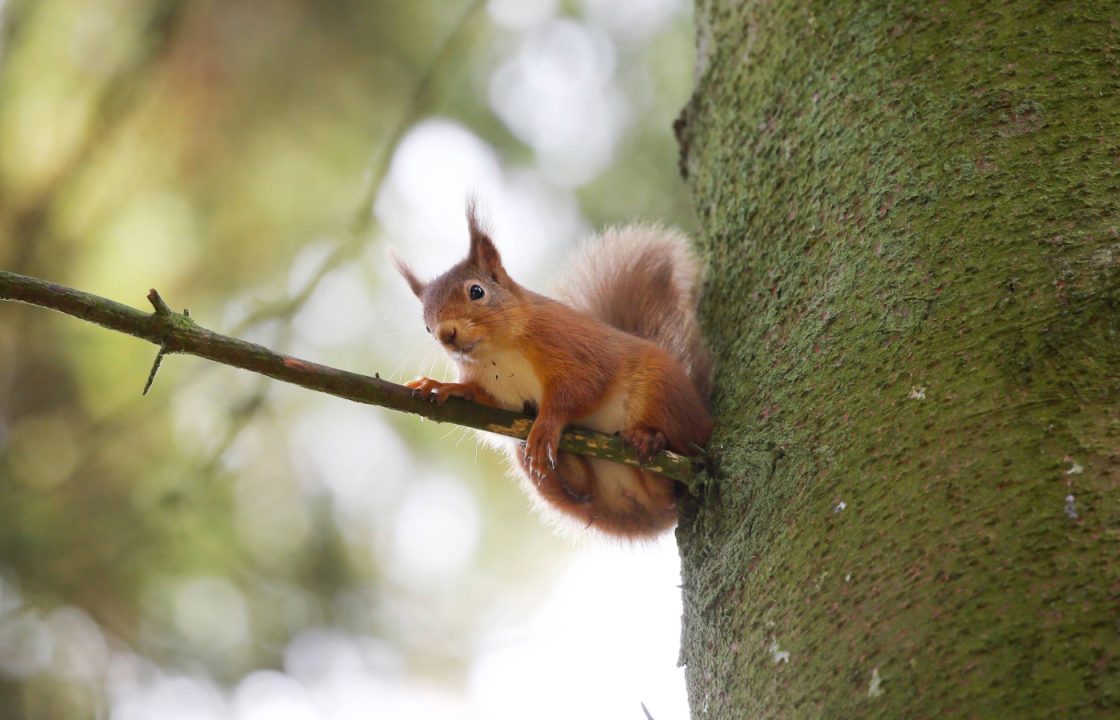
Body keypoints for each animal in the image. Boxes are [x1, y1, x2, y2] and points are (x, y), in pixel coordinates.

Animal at [394, 206, 707, 537]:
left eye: (476, 291)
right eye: (426, 326)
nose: (446, 335)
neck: (498, 353)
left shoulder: (574, 350)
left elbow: (579, 390)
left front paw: (547, 425)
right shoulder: (499, 394)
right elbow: (483, 398)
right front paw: (445, 387)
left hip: (661, 394)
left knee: (676, 477)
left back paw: (649, 441)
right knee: (585, 491)